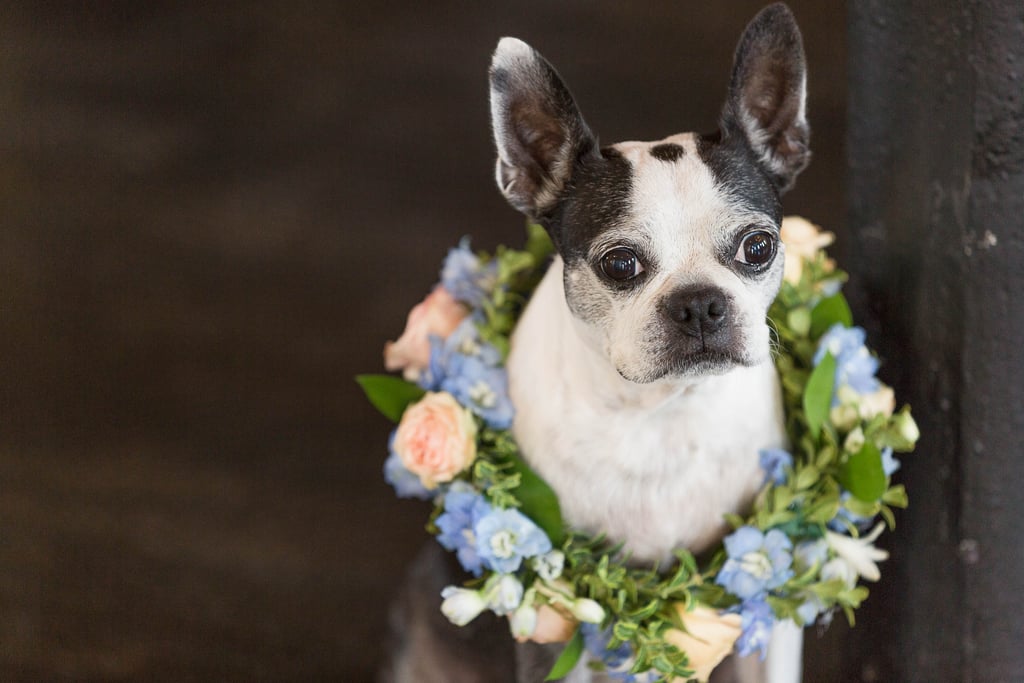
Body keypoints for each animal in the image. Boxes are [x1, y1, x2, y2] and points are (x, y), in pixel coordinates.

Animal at [387, 5, 811, 683]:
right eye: (619, 264)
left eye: (759, 247)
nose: (699, 302)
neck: (662, 411)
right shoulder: (549, 619)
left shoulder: (775, 606)